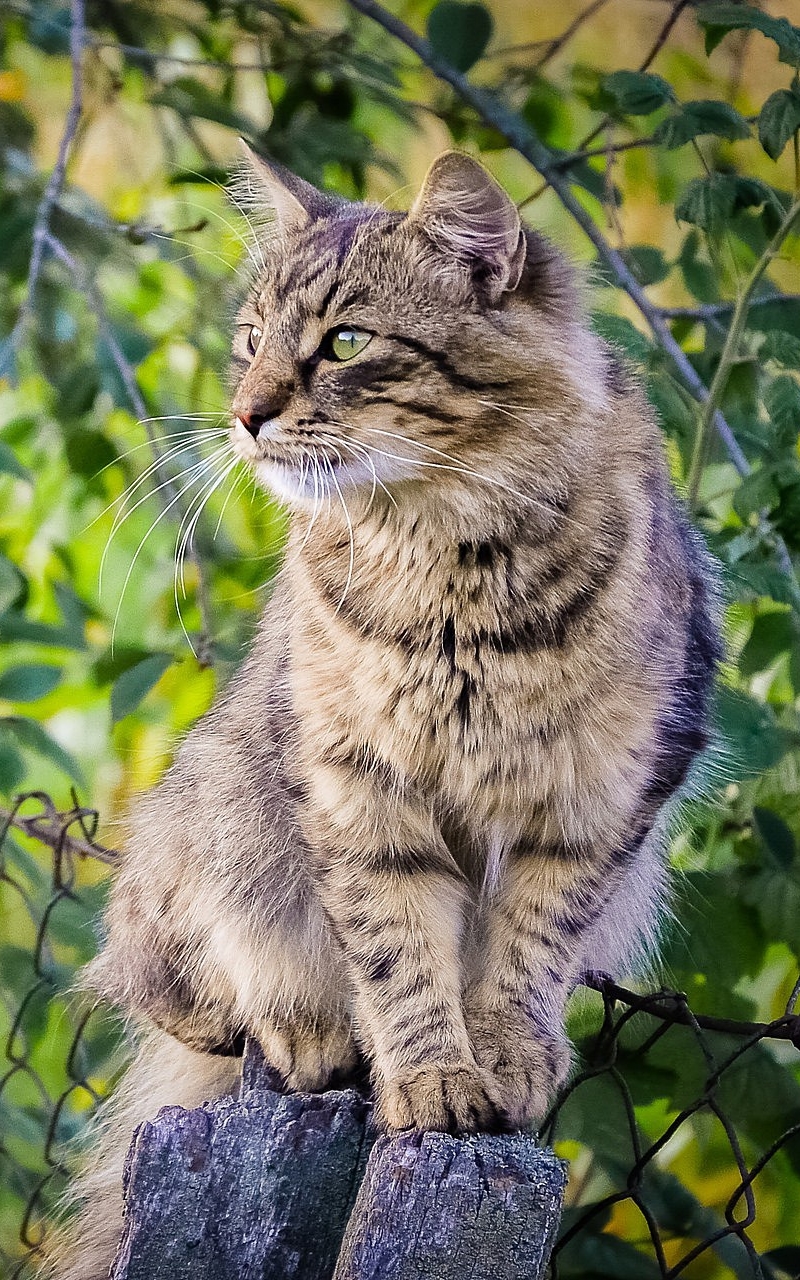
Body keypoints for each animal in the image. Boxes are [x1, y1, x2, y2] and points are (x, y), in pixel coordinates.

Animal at [46, 145, 716, 1274]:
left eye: (346, 344)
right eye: (251, 340)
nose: (246, 413)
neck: (451, 563)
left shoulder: (599, 797)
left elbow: (528, 950)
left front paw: (504, 1062)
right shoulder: (356, 787)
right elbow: (396, 952)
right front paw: (433, 1080)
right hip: (206, 827)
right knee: (174, 991)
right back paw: (301, 1031)